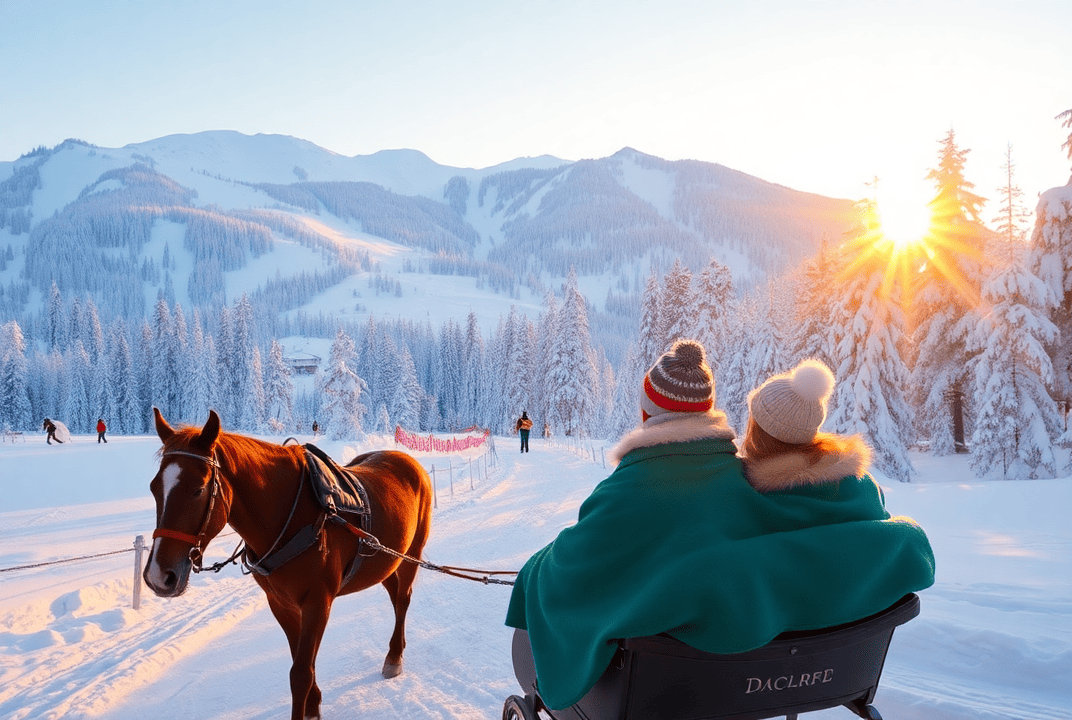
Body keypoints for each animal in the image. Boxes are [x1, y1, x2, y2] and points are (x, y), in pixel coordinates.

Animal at [143, 411, 435, 720]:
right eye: (154, 488)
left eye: (198, 490)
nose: (158, 576)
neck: (291, 517)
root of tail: (409, 461)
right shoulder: (280, 602)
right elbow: (302, 662)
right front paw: (313, 705)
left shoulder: (318, 602)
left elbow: (300, 674)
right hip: (385, 560)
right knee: (394, 594)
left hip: (411, 554)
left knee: (402, 599)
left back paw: (394, 656)